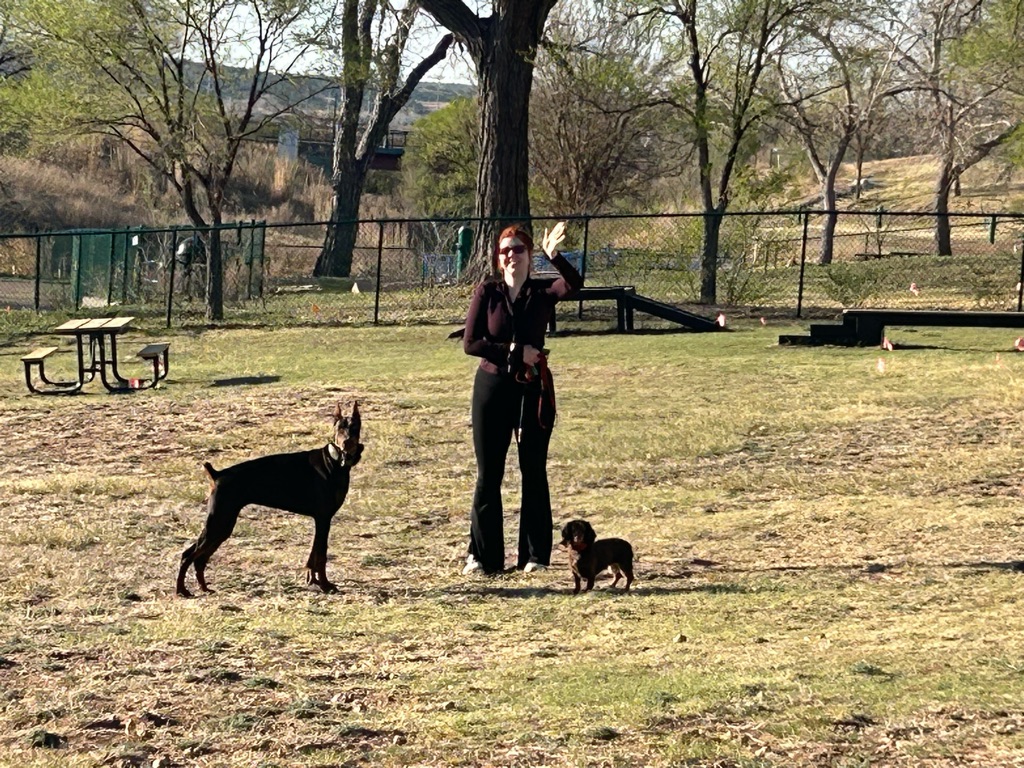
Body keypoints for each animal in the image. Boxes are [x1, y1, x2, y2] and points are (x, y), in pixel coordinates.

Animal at [175, 402, 364, 597]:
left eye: (354, 428)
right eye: (339, 428)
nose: (347, 443)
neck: (335, 461)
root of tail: (216, 474)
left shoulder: (321, 519)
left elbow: (315, 555)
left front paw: (314, 581)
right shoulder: (323, 518)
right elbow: (321, 555)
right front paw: (325, 585)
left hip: (223, 526)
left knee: (199, 558)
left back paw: (204, 588)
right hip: (219, 521)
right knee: (187, 555)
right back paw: (182, 590)